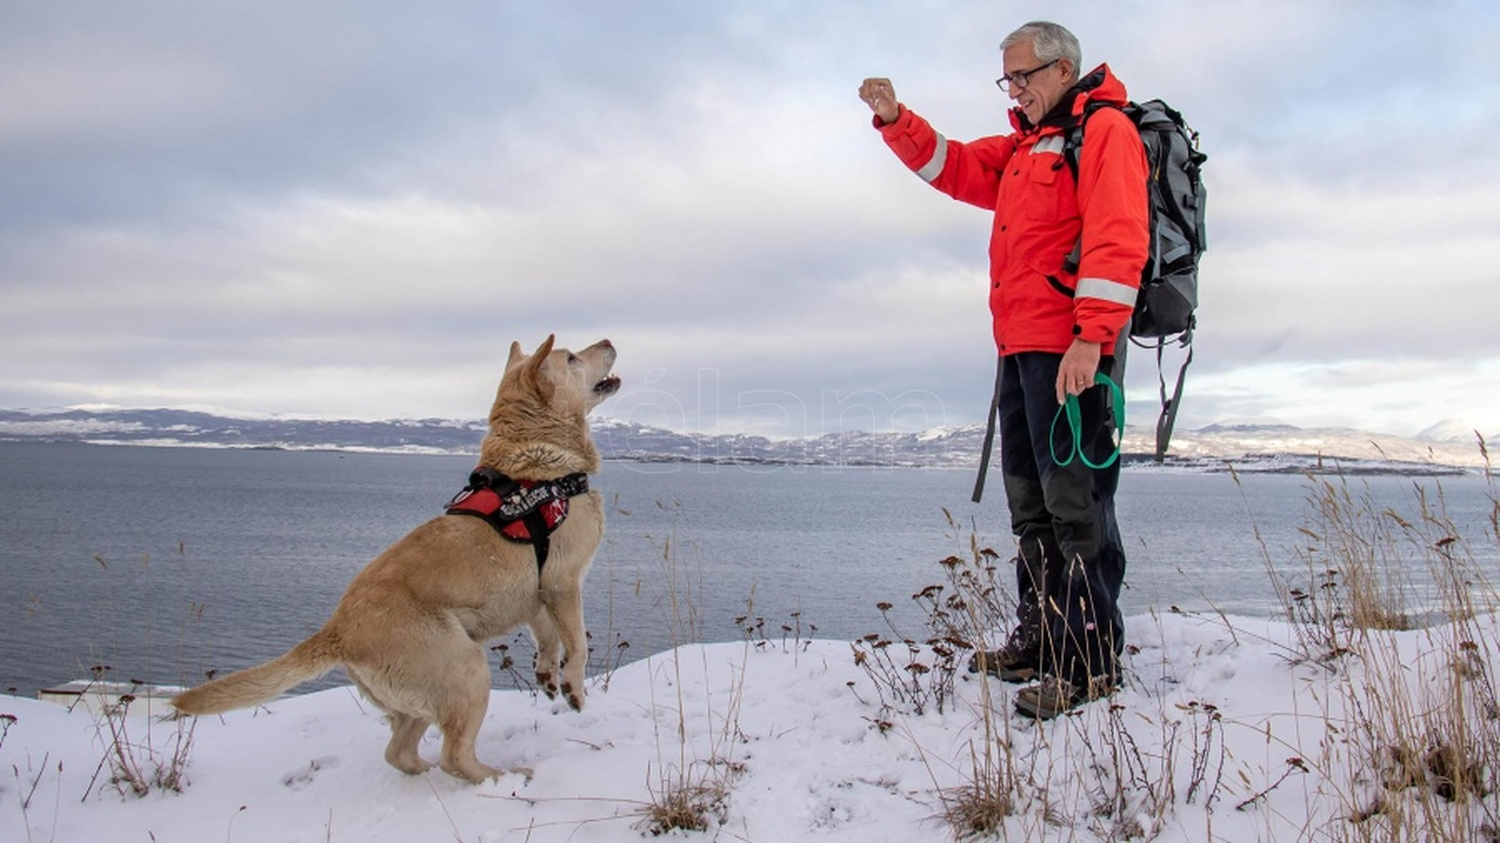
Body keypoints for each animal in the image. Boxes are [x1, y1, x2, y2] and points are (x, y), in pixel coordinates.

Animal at [172, 336, 618, 780]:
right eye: (572, 358)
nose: (609, 341)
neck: (539, 466)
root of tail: (337, 630)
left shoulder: (539, 589)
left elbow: (548, 637)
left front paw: (547, 674)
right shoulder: (563, 582)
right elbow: (576, 644)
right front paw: (574, 688)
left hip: (421, 696)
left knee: (399, 752)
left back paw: (427, 772)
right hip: (466, 668)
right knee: (454, 755)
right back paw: (502, 777)